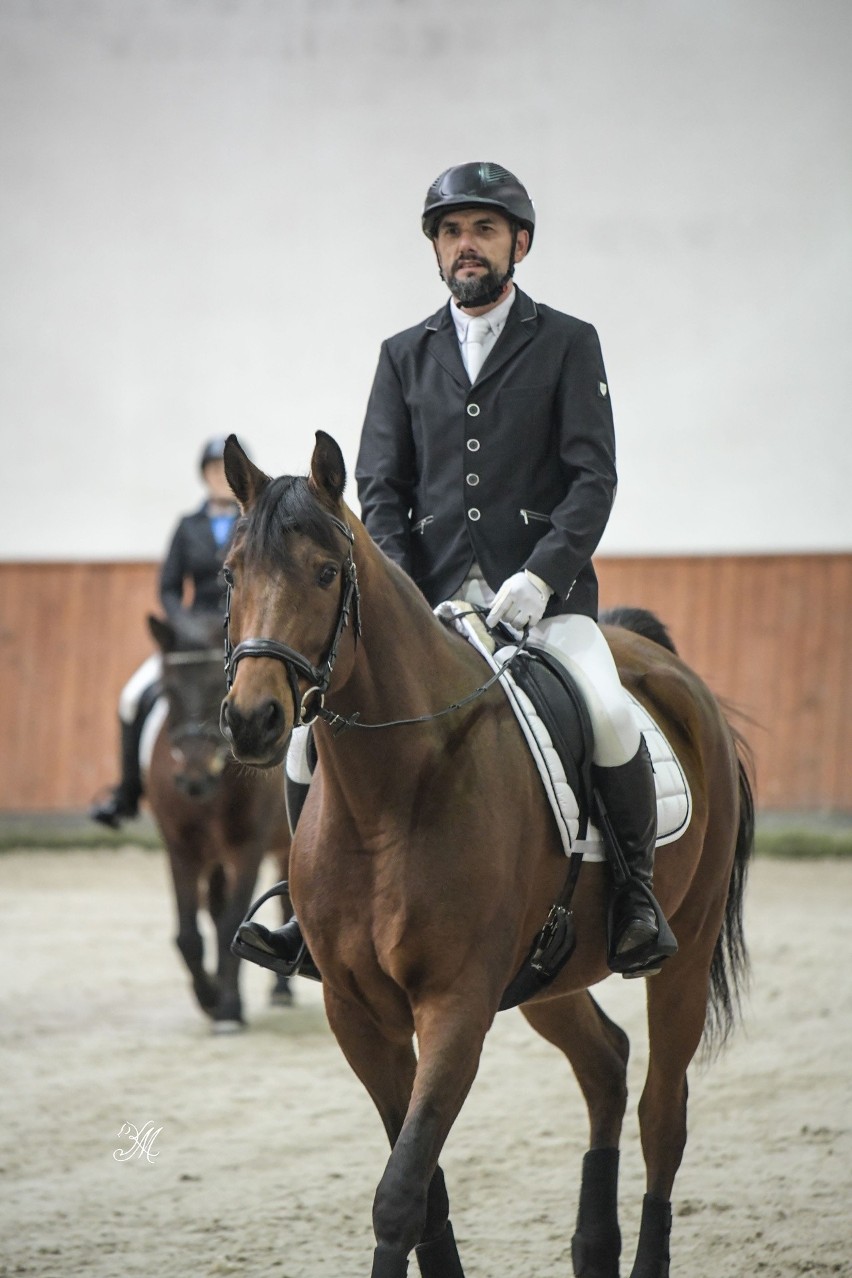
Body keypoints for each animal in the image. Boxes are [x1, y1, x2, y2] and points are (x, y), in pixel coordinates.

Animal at [144, 608, 291, 1027]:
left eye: (215, 688)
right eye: (169, 690)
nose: (193, 779)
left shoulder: (247, 848)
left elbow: (231, 923)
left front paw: (228, 1008)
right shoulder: (181, 849)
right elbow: (188, 934)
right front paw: (208, 997)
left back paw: (281, 990)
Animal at [218, 434, 751, 1272]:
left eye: (326, 573)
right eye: (230, 573)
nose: (252, 720)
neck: (388, 797)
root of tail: (671, 672)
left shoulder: (457, 1005)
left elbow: (399, 1193)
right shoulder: (356, 1014)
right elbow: (423, 1191)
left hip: (686, 958)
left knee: (663, 1113)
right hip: (551, 975)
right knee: (606, 1064)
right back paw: (592, 1246)